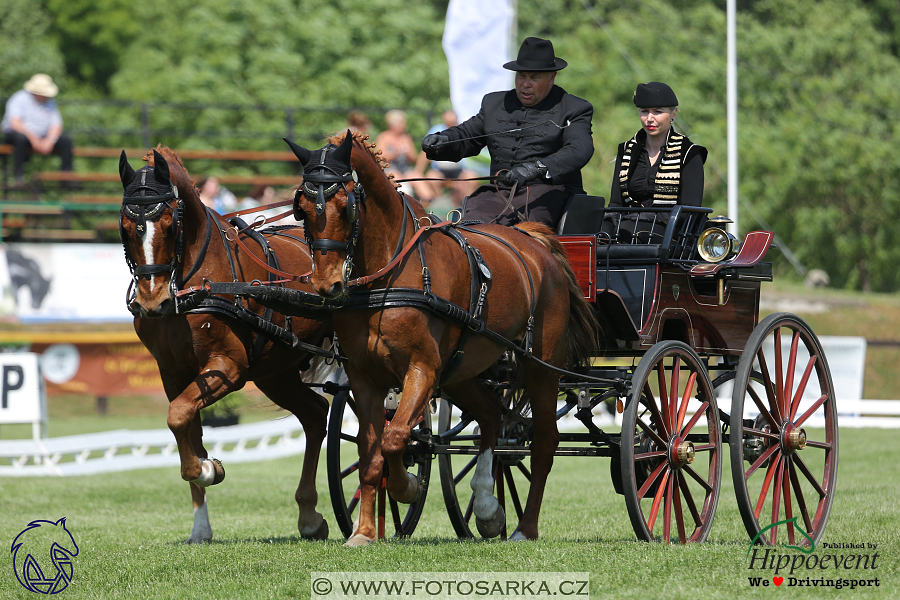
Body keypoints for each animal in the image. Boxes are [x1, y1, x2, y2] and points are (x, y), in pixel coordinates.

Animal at [118, 146, 332, 544]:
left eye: (170, 224)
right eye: (125, 227)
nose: (152, 301)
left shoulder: (229, 367)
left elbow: (179, 416)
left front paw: (206, 468)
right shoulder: (173, 373)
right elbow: (185, 424)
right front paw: (201, 519)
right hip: (276, 373)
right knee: (314, 414)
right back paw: (309, 515)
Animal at [286, 134, 596, 548]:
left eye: (345, 205)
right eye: (302, 208)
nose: (327, 284)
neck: (389, 275)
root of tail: (535, 242)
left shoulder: (422, 369)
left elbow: (395, 437)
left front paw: (407, 487)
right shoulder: (364, 378)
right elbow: (370, 454)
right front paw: (364, 532)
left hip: (540, 368)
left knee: (544, 443)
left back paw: (524, 528)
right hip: (463, 369)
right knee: (492, 416)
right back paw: (487, 508)